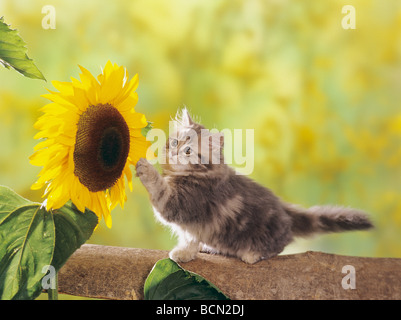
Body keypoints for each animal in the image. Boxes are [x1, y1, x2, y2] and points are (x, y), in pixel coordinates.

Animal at [135, 109, 372, 264]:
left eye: (188, 151)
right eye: (175, 142)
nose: (175, 152)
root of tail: (283, 209)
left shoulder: (182, 204)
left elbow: (160, 190)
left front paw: (145, 168)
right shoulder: (191, 225)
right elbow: (189, 240)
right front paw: (186, 252)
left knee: (282, 243)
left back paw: (253, 254)